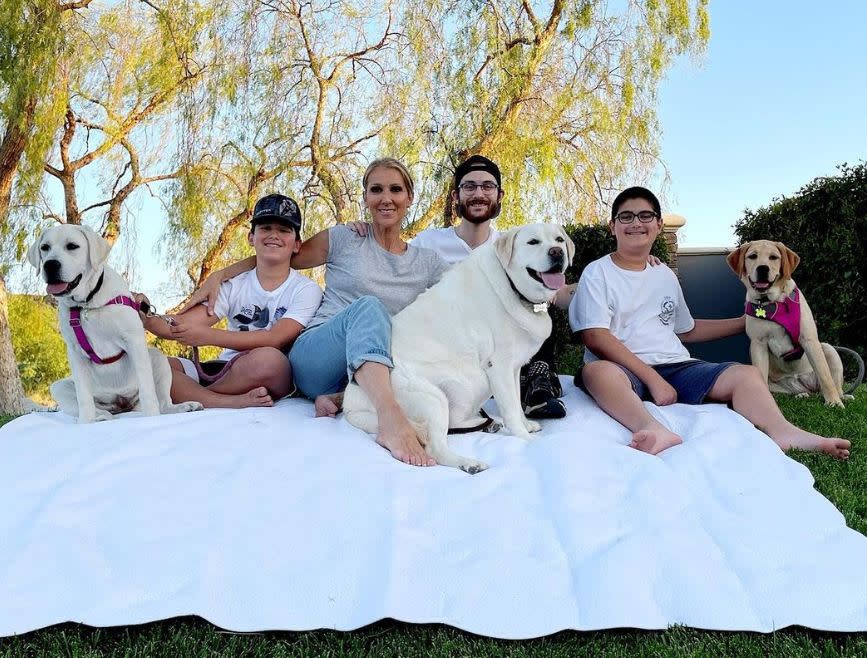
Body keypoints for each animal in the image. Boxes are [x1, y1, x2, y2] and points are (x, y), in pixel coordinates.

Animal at [27, 224, 203, 420]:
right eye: (45, 248)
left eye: (72, 246)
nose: (50, 265)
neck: (87, 304)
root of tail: (121, 403)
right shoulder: (74, 352)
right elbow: (83, 398)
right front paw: (85, 423)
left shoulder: (133, 340)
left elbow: (148, 390)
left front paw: (151, 418)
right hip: (58, 387)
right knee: (89, 405)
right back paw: (101, 415)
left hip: (158, 359)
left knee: (162, 402)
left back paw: (183, 407)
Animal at [344, 224, 576, 472]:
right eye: (533, 242)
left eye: (559, 240)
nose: (556, 253)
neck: (513, 287)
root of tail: (350, 404)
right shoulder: (499, 366)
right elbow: (512, 408)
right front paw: (525, 437)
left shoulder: (513, 368)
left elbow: (515, 401)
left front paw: (526, 425)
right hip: (432, 398)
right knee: (436, 448)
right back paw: (469, 463)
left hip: (468, 390)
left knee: (453, 424)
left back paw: (488, 423)